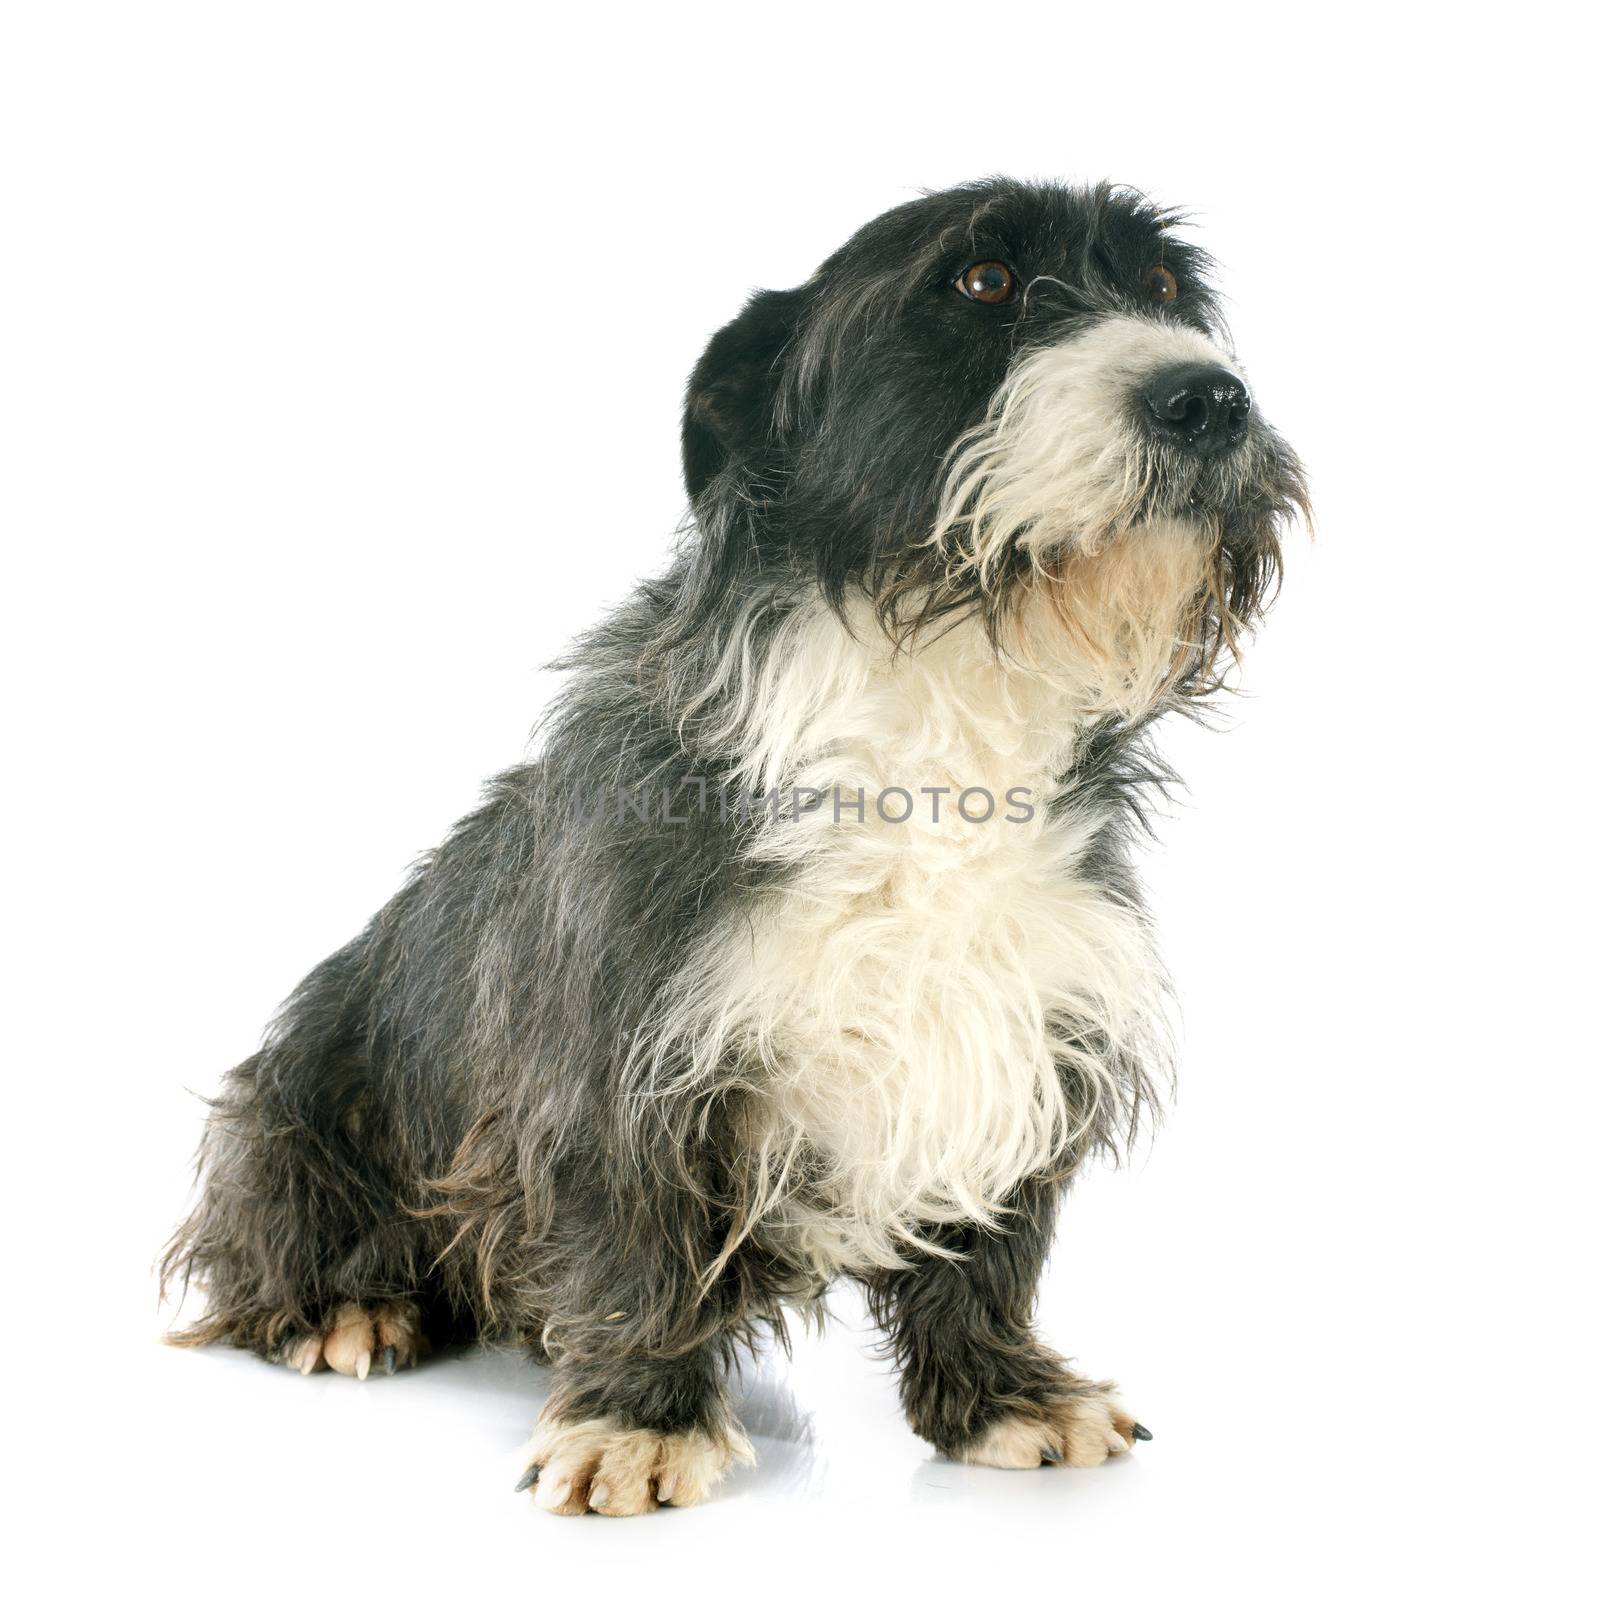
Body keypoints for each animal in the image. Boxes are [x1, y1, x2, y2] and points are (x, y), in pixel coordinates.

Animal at [165, 181, 1312, 1516]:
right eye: (980, 281)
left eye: (1169, 292)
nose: (1208, 398)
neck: (944, 703)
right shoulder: (618, 1042)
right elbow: (631, 1227)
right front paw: (638, 1417)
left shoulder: (1020, 1020)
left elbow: (991, 1238)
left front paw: (1000, 1392)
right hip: (303, 1090)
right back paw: (346, 1304)